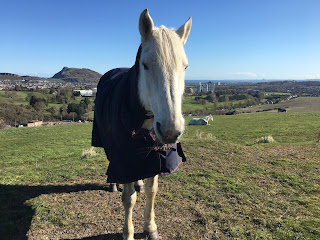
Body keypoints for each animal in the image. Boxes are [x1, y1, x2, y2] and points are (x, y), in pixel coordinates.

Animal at [118, 9, 191, 240]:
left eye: (185, 66)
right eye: (145, 64)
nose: (170, 131)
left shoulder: (154, 156)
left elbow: (152, 190)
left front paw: (150, 227)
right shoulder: (123, 158)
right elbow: (128, 198)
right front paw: (128, 233)